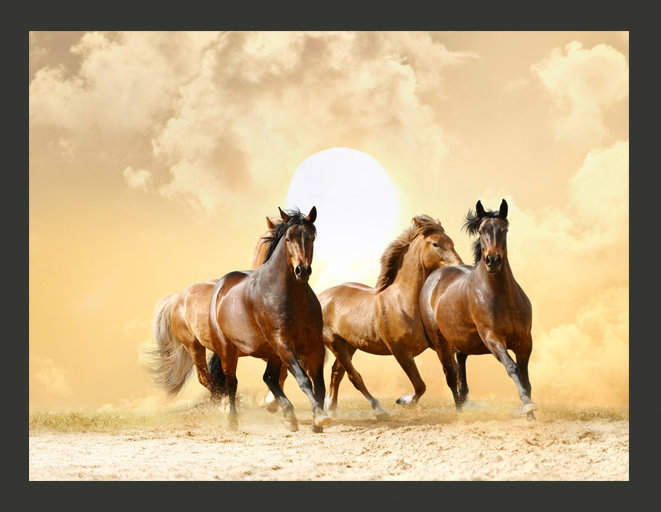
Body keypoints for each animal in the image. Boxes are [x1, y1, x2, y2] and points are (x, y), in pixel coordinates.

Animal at [205, 206, 330, 432]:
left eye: (312, 237)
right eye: (288, 238)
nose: (302, 270)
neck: (291, 297)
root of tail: (221, 286)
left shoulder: (314, 345)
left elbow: (319, 384)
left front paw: (317, 421)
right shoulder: (283, 343)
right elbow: (304, 380)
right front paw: (320, 416)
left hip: (272, 353)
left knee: (269, 378)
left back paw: (289, 416)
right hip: (229, 350)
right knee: (232, 382)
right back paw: (233, 421)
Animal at [320, 215, 463, 419]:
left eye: (451, 242)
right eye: (436, 244)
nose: (458, 265)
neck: (403, 301)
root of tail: (321, 296)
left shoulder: (439, 345)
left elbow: (452, 375)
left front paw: (462, 407)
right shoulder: (400, 352)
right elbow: (420, 385)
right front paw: (403, 400)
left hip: (349, 345)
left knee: (336, 373)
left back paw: (331, 409)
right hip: (335, 343)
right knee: (354, 376)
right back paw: (378, 409)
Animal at [419, 199, 536, 419]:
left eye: (504, 229)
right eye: (481, 231)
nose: (493, 260)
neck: (502, 298)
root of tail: (434, 277)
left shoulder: (525, 341)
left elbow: (526, 378)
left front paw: (531, 414)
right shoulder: (493, 339)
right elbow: (512, 368)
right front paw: (528, 406)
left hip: (462, 339)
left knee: (461, 365)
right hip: (441, 343)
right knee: (450, 374)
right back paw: (459, 410)